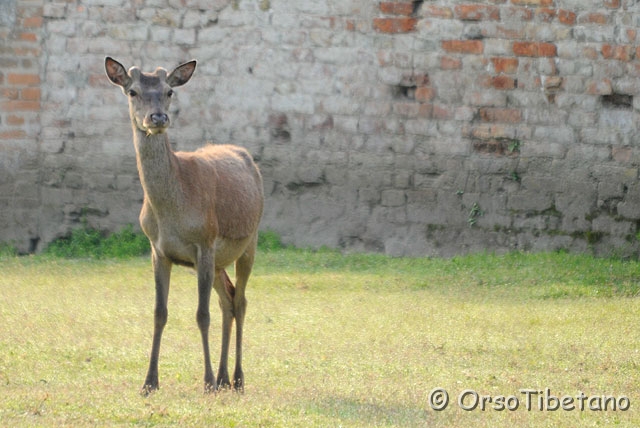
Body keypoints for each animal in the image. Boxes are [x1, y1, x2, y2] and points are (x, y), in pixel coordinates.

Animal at [105, 56, 262, 394]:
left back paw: (236, 379)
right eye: (132, 91)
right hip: (218, 262)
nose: (157, 117)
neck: (171, 213)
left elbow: (201, 314)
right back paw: (224, 377)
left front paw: (206, 382)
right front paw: (149, 383)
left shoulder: (204, 242)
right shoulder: (158, 250)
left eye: (169, 91)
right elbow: (159, 313)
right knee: (227, 300)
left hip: (249, 242)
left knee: (241, 301)